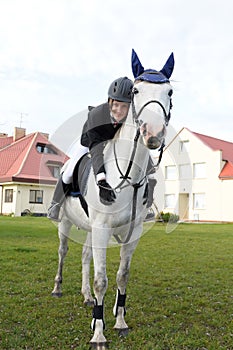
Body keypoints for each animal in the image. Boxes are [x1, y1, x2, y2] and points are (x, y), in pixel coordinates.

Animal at [51, 48, 175, 344]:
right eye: (137, 91)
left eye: (170, 92)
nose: (153, 134)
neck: (126, 179)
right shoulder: (102, 228)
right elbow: (102, 280)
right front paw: (98, 332)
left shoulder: (132, 232)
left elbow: (121, 276)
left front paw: (119, 321)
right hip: (66, 223)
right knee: (63, 251)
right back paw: (58, 288)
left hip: (89, 229)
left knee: (85, 256)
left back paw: (85, 296)